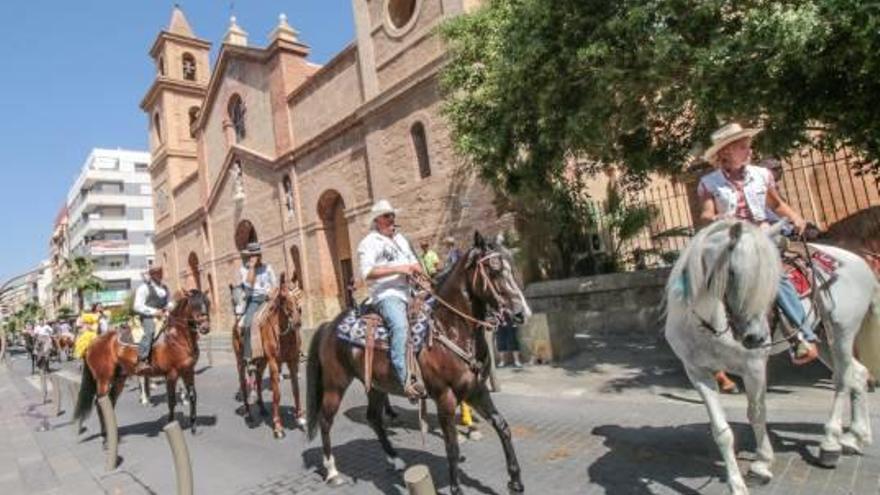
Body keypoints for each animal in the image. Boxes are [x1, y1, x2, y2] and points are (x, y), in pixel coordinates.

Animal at [74, 288, 211, 436]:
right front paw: (171, 423)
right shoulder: (171, 374)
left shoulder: (188, 371)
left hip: (119, 379)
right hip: (103, 379)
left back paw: (112, 430)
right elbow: (171, 401)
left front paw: (194, 427)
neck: (177, 337)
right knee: (100, 403)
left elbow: (192, 396)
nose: (205, 327)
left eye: (207, 303)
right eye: (194, 305)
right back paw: (105, 434)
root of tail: (91, 344)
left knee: (110, 402)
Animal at [234, 274, 306, 440]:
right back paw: (249, 414)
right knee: (243, 383)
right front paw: (278, 427)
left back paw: (261, 408)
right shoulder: (274, 362)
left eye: (299, 294)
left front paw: (300, 418)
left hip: (262, 362)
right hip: (240, 361)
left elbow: (296, 389)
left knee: (259, 380)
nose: (297, 322)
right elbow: (276, 394)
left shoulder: (293, 361)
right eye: (284, 297)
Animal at [306, 233, 532, 495]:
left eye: (512, 265)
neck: (452, 329)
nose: (522, 313)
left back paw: (394, 458)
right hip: (335, 384)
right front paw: (456, 488)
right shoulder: (445, 397)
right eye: (493, 270)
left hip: (375, 385)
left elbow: (502, 426)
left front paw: (515, 481)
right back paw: (332, 471)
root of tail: (329, 325)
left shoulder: (476, 389)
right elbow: (451, 445)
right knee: (325, 420)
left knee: (373, 418)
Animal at [668, 221, 880, 495]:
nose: (756, 337)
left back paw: (830, 444)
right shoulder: (697, 372)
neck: (709, 323)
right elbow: (721, 431)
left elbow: (757, 413)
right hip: (823, 341)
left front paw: (761, 464)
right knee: (858, 374)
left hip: (842, 334)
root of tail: (860, 261)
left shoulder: (754, 367)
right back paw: (855, 437)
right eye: (733, 273)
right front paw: (736, 484)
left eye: (770, 279)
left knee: (842, 379)